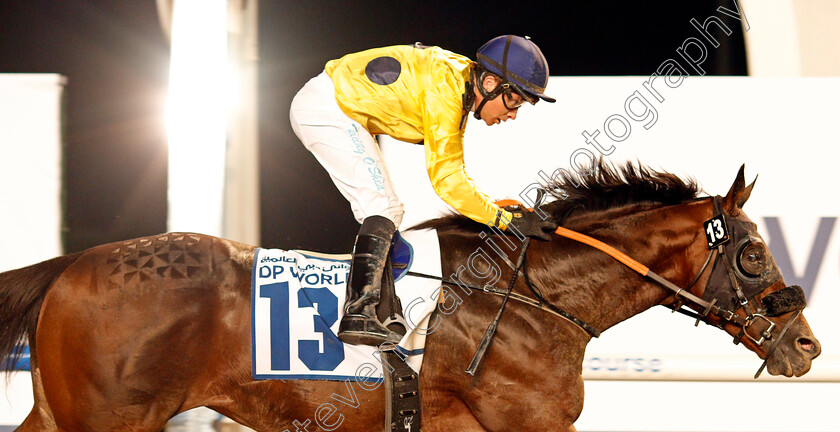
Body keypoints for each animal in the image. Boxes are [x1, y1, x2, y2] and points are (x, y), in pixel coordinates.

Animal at [0, 161, 824, 428]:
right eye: (754, 254)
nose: (808, 345)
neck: (532, 299)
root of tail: (71, 264)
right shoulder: (526, 424)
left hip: (62, 412)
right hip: (109, 418)